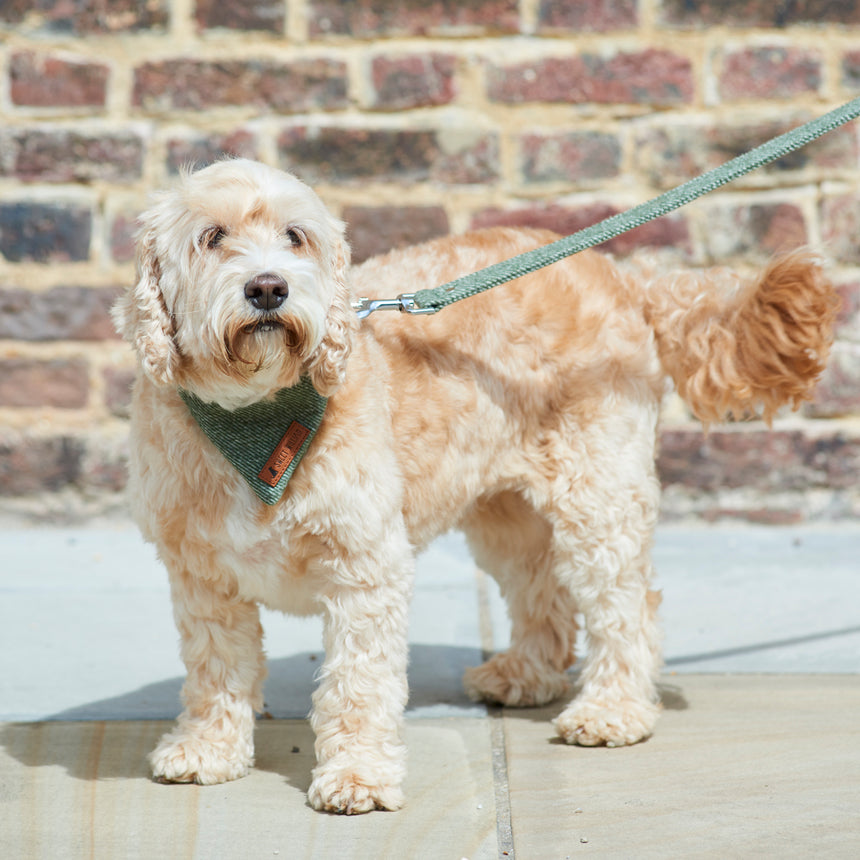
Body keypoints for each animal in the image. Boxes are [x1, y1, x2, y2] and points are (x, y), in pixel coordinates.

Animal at [111, 156, 836, 812]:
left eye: (296, 236)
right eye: (211, 237)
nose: (268, 289)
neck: (255, 417)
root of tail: (624, 278)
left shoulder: (365, 569)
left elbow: (357, 684)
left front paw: (357, 777)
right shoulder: (202, 578)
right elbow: (215, 669)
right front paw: (208, 750)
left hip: (597, 495)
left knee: (625, 607)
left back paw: (613, 710)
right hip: (505, 512)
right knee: (543, 590)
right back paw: (526, 674)